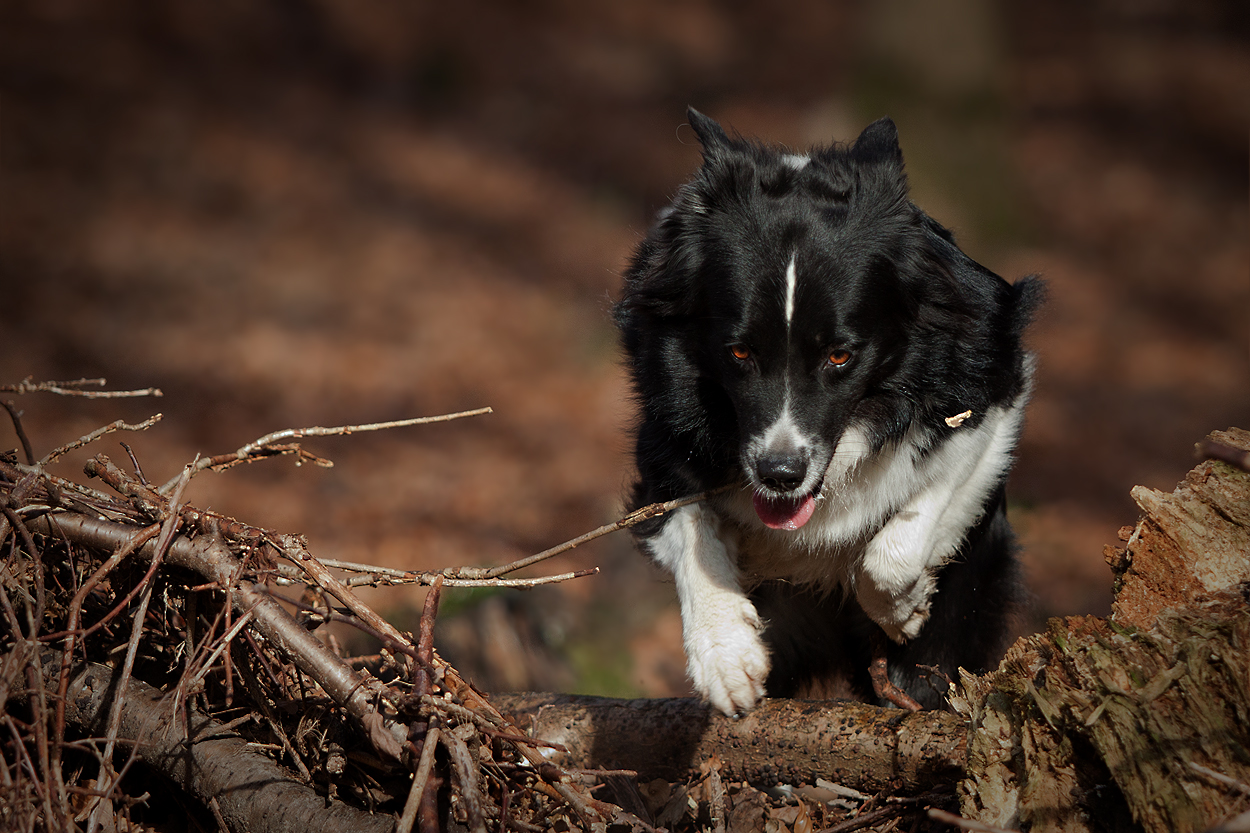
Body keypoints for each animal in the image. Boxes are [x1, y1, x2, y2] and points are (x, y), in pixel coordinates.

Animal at [617, 106, 1045, 710]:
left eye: (840, 355)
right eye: (739, 352)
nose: (779, 474)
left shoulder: (992, 388)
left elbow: (909, 529)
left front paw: (904, 607)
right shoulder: (663, 428)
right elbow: (688, 524)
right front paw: (724, 654)